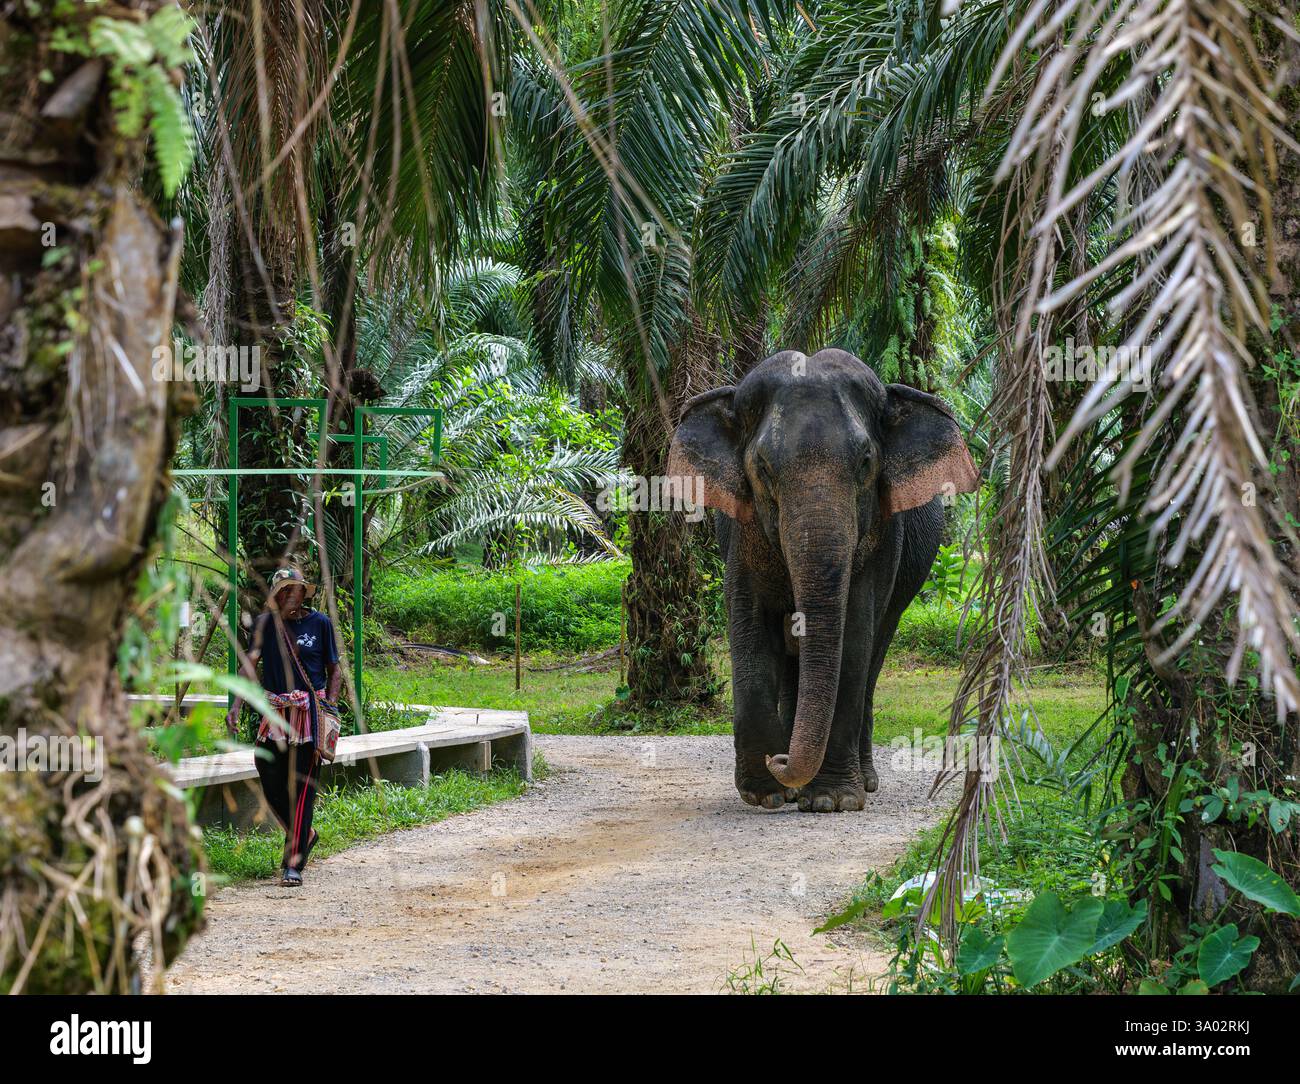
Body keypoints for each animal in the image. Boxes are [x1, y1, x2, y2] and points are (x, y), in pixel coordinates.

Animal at [666, 348, 980, 812]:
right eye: (762, 466)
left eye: (866, 461)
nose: (779, 760)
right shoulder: (741, 530)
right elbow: (750, 623)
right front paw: (767, 793)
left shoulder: (883, 534)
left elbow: (854, 631)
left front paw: (832, 799)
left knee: (874, 652)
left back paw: (863, 780)